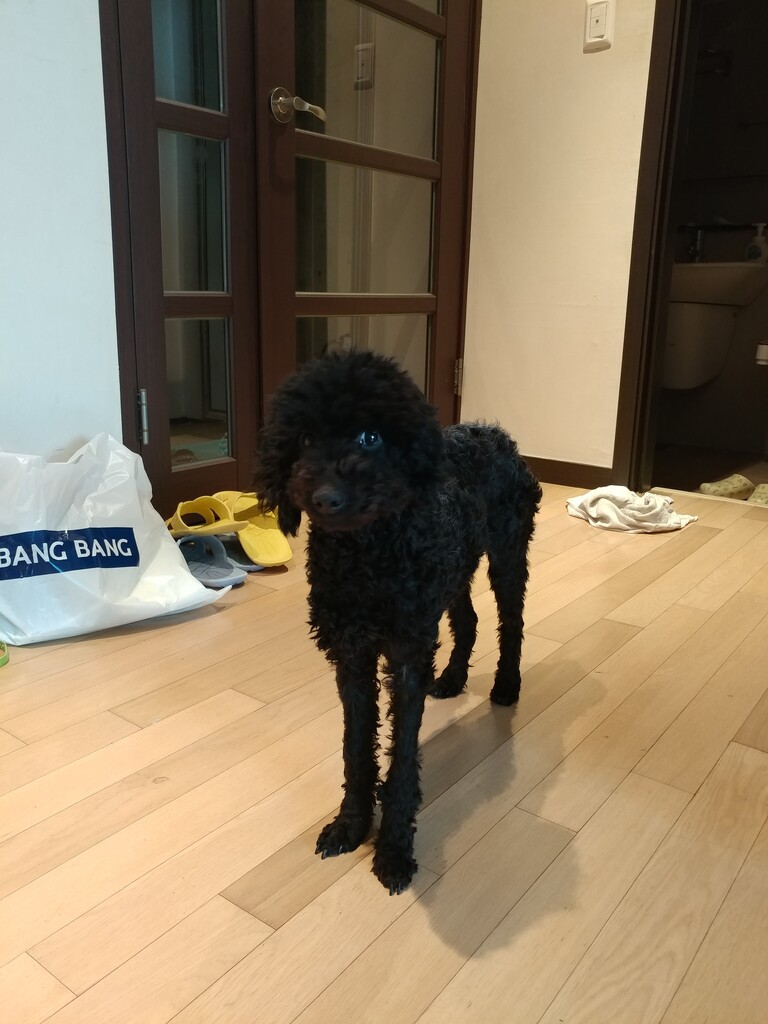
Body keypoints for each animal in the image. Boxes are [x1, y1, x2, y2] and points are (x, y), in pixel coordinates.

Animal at [254, 350, 541, 894]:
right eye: (304, 440)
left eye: (371, 437)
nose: (325, 497)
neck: (365, 556)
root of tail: (494, 432)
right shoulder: (352, 653)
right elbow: (356, 748)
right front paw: (350, 825)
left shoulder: (406, 655)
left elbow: (403, 758)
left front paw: (393, 850)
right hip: (452, 572)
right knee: (469, 620)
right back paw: (451, 678)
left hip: (507, 554)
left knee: (510, 623)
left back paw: (507, 686)